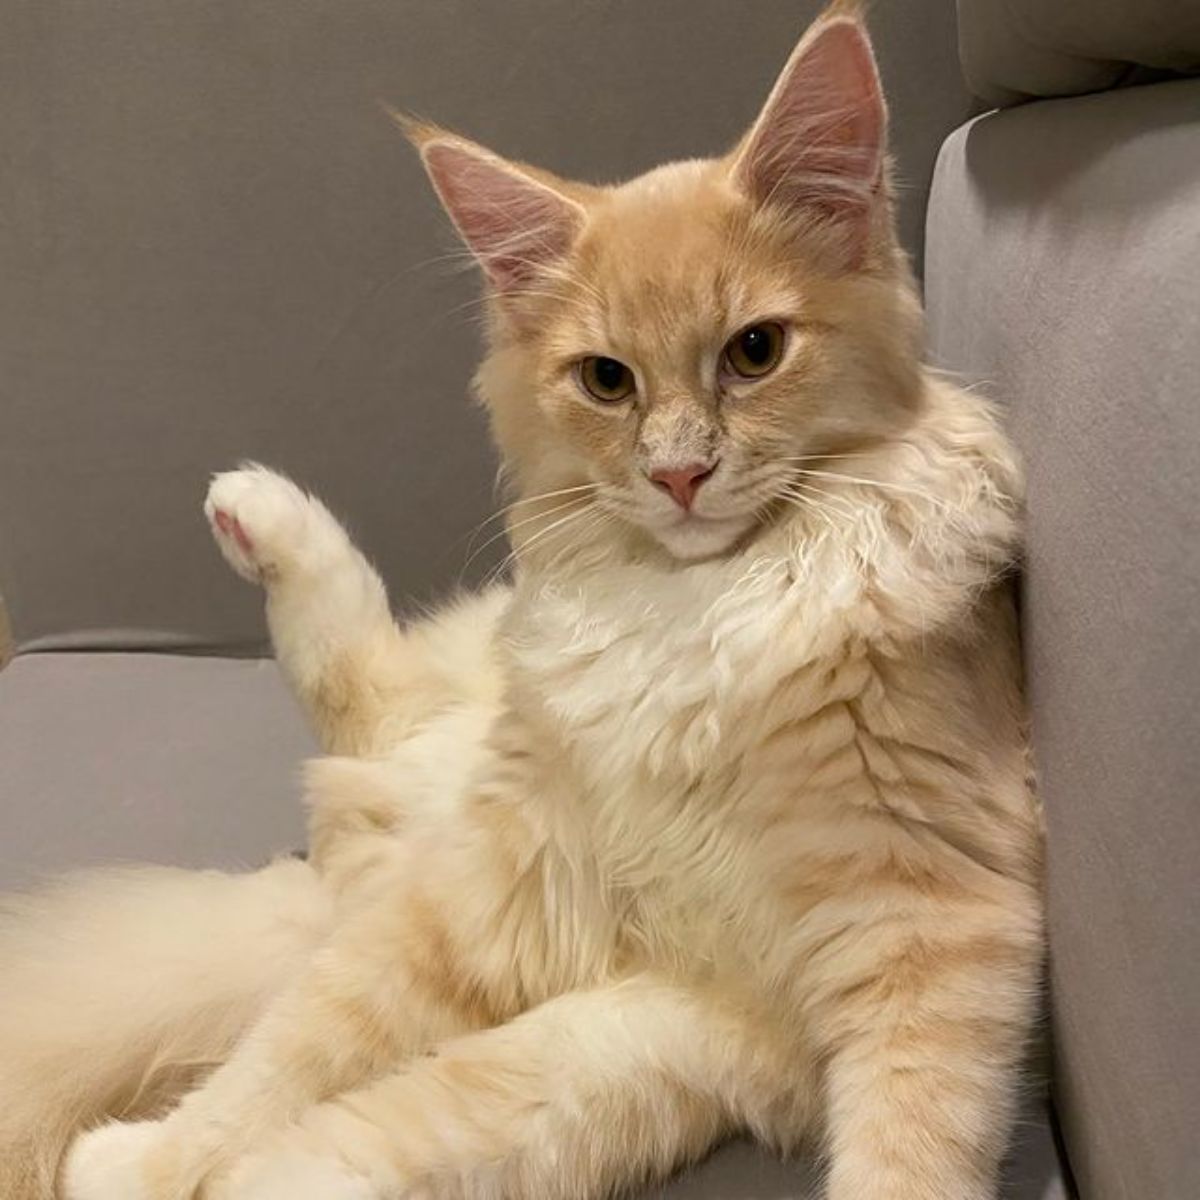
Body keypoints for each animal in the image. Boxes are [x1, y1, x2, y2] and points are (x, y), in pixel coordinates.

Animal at [0, 4, 1041, 1195]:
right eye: (606, 380)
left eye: (755, 352)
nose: (680, 477)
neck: (699, 599)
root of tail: (334, 872)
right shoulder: (508, 880)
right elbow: (293, 1053)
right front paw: (166, 1151)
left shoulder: (927, 922)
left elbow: (905, 1151)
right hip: (451, 798)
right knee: (350, 767)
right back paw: (256, 510)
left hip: (582, 1064)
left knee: (312, 1140)